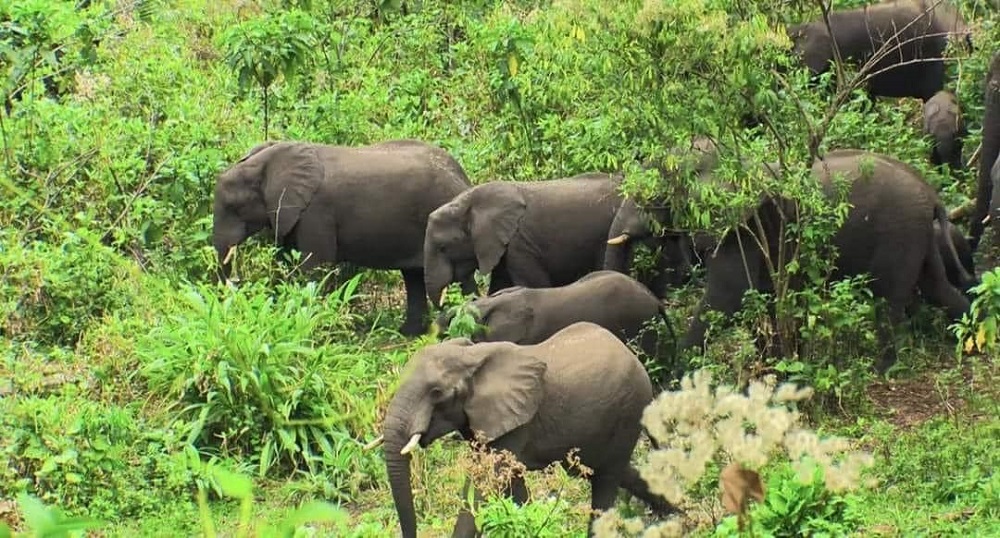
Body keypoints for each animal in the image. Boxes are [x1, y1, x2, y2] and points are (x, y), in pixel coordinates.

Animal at [212, 139, 472, 336]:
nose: (236, 284)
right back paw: (408, 333)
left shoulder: (316, 212)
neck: (267, 161)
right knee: (414, 276)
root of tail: (463, 177)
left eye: (233, 207)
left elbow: (314, 266)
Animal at [381, 322, 672, 538]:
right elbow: (512, 483)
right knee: (608, 470)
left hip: (629, 410)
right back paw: (675, 513)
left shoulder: (516, 420)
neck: (472, 356)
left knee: (606, 479)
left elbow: (484, 484)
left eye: (437, 392)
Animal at [678, 149, 972, 374]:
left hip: (900, 232)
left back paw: (880, 371)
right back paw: (969, 342)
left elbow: (729, 296)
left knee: (887, 301)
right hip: (918, 233)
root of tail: (930, 192)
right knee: (936, 286)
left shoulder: (744, 228)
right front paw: (775, 366)